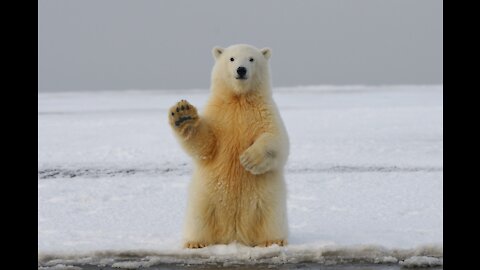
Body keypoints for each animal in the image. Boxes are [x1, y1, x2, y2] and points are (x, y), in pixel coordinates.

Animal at [169, 44, 288, 249]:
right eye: (231, 58)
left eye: (251, 59)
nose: (241, 70)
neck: (239, 99)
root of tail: (235, 235)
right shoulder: (219, 115)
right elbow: (206, 145)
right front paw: (183, 114)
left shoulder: (265, 112)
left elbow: (277, 139)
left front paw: (249, 159)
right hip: (204, 197)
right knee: (199, 218)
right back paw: (195, 242)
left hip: (269, 199)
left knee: (271, 218)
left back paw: (273, 240)